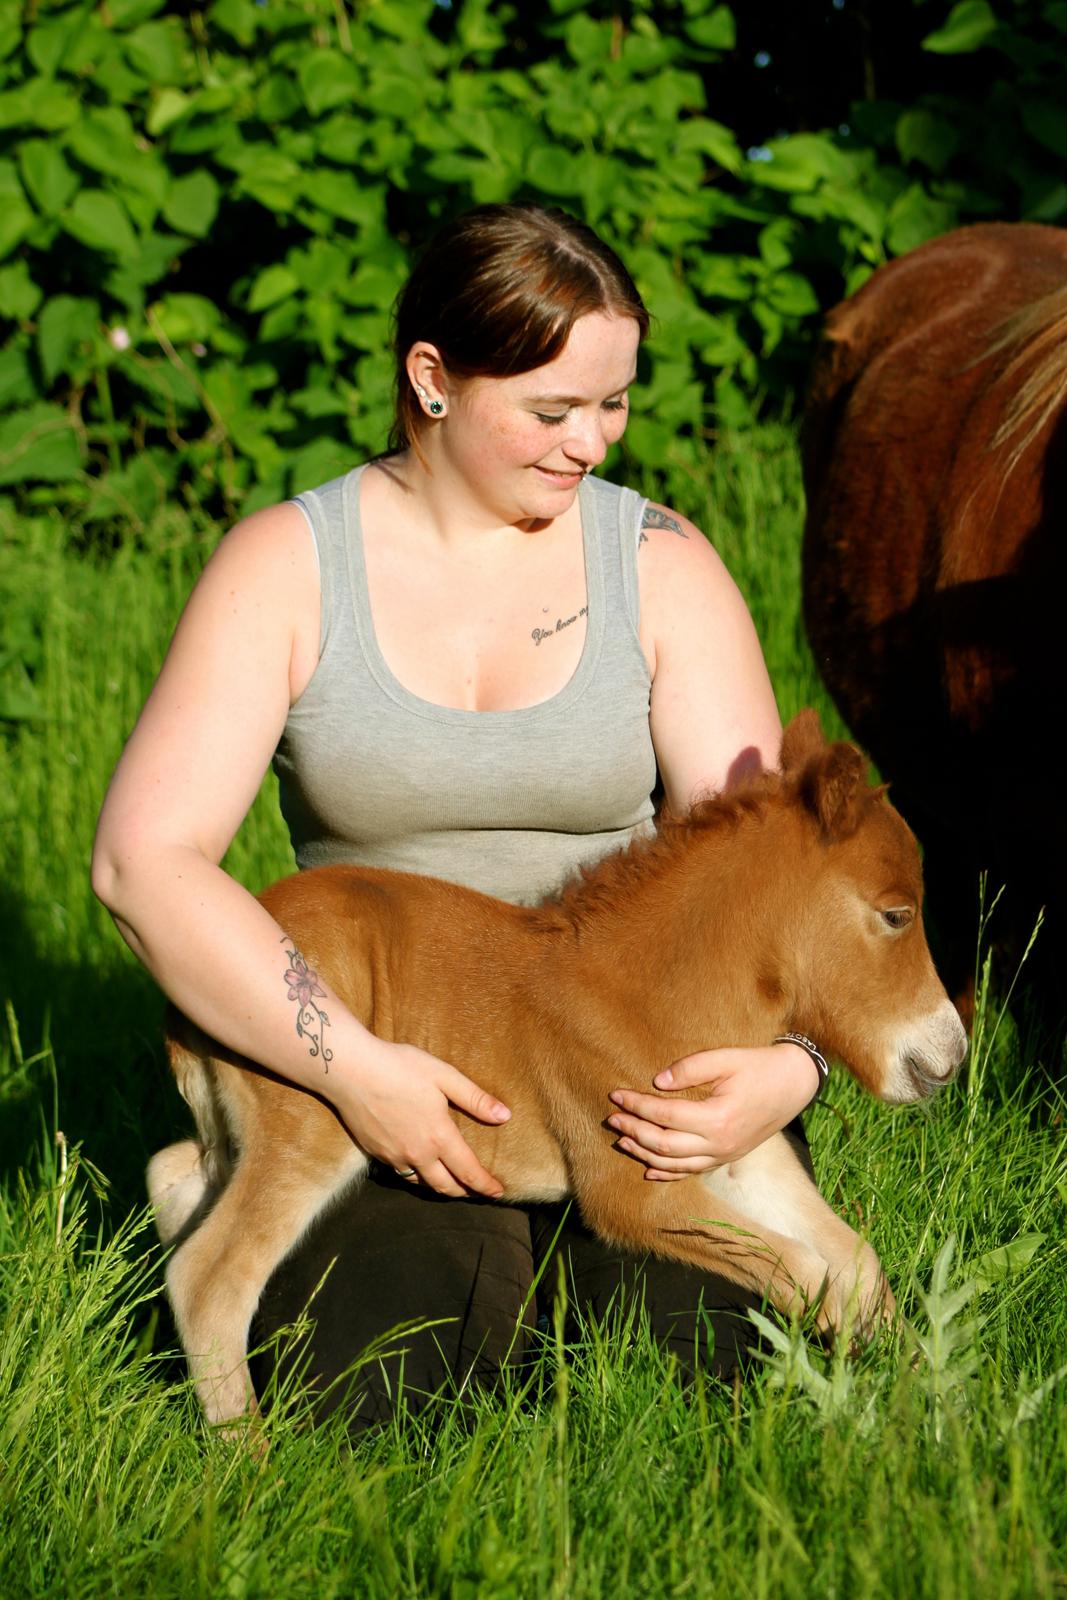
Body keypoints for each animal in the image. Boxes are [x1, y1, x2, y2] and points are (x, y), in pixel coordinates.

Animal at [146, 713, 966, 1427]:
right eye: (896, 915)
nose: (951, 1056)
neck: (655, 992)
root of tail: (181, 1016)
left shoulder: (738, 1150)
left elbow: (854, 1265)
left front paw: (927, 1411)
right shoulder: (632, 1192)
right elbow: (803, 1271)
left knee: (175, 1175)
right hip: (309, 1122)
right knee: (209, 1279)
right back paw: (246, 1457)